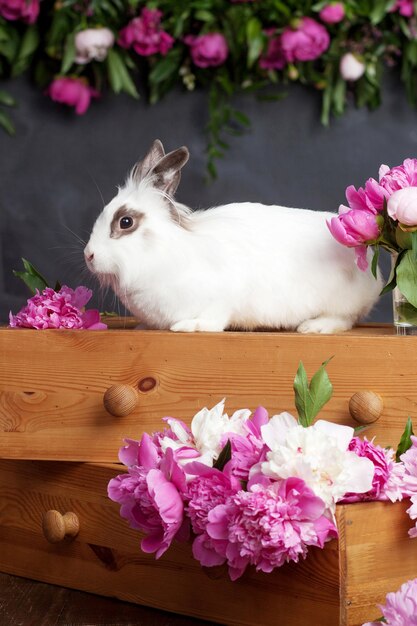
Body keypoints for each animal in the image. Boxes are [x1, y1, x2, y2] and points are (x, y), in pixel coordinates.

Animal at [83, 138, 380, 332]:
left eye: (126, 222)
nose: (89, 255)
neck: (164, 251)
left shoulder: (221, 299)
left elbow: (214, 320)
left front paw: (188, 326)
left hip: (342, 302)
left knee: (344, 319)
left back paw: (313, 327)